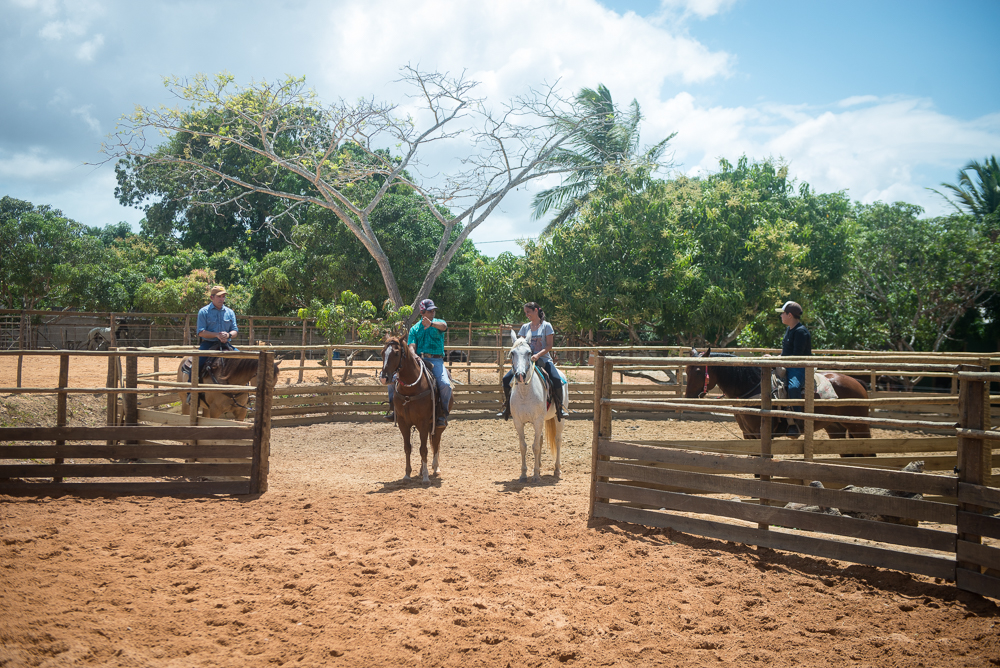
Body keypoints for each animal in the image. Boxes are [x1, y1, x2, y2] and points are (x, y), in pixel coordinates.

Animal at [376, 336, 452, 482]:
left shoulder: (423, 422)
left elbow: (424, 449)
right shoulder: (403, 422)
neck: (410, 391)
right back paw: (422, 470)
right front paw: (407, 474)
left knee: (436, 443)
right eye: (382, 353)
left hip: (437, 425)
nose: (384, 378)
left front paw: (426, 477)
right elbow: (408, 448)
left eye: (396, 353)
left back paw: (435, 468)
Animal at [512, 328, 568, 480]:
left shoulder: (537, 421)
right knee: (541, 439)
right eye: (512, 353)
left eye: (529, 353)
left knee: (558, 439)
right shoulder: (518, 422)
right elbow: (523, 446)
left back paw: (557, 470)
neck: (525, 393)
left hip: (558, 419)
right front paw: (524, 474)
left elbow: (535, 446)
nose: (520, 375)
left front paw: (536, 475)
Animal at [684, 350, 872, 444]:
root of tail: (856, 381)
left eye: (699, 371)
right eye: (686, 369)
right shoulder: (748, 434)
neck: (753, 388)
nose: (688, 398)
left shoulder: (760, 434)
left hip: (859, 427)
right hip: (835, 427)